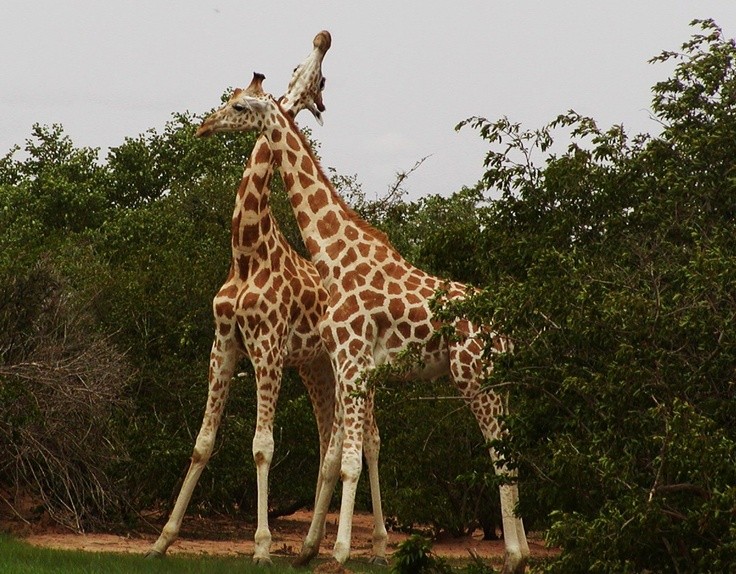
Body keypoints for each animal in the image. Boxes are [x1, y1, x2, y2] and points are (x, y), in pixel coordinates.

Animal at [148, 32, 392, 568]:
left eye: (320, 79)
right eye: (298, 67)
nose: (203, 126)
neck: (246, 252)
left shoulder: (268, 350)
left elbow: (263, 445)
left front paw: (260, 546)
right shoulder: (224, 345)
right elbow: (202, 443)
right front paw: (162, 539)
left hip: (354, 370)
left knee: (370, 441)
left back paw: (380, 546)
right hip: (318, 367)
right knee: (328, 441)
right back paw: (310, 545)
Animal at [196, 77, 528, 574]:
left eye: (238, 106)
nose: (204, 125)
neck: (332, 254)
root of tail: (505, 330)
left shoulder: (351, 361)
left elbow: (349, 459)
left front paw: (339, 552)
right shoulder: (344, 363)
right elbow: (337, 456)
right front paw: (317, 549)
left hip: (475, 380)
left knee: (500, 459)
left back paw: (512, 557)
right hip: (497, 383)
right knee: (512, 453)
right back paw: (521, 553)